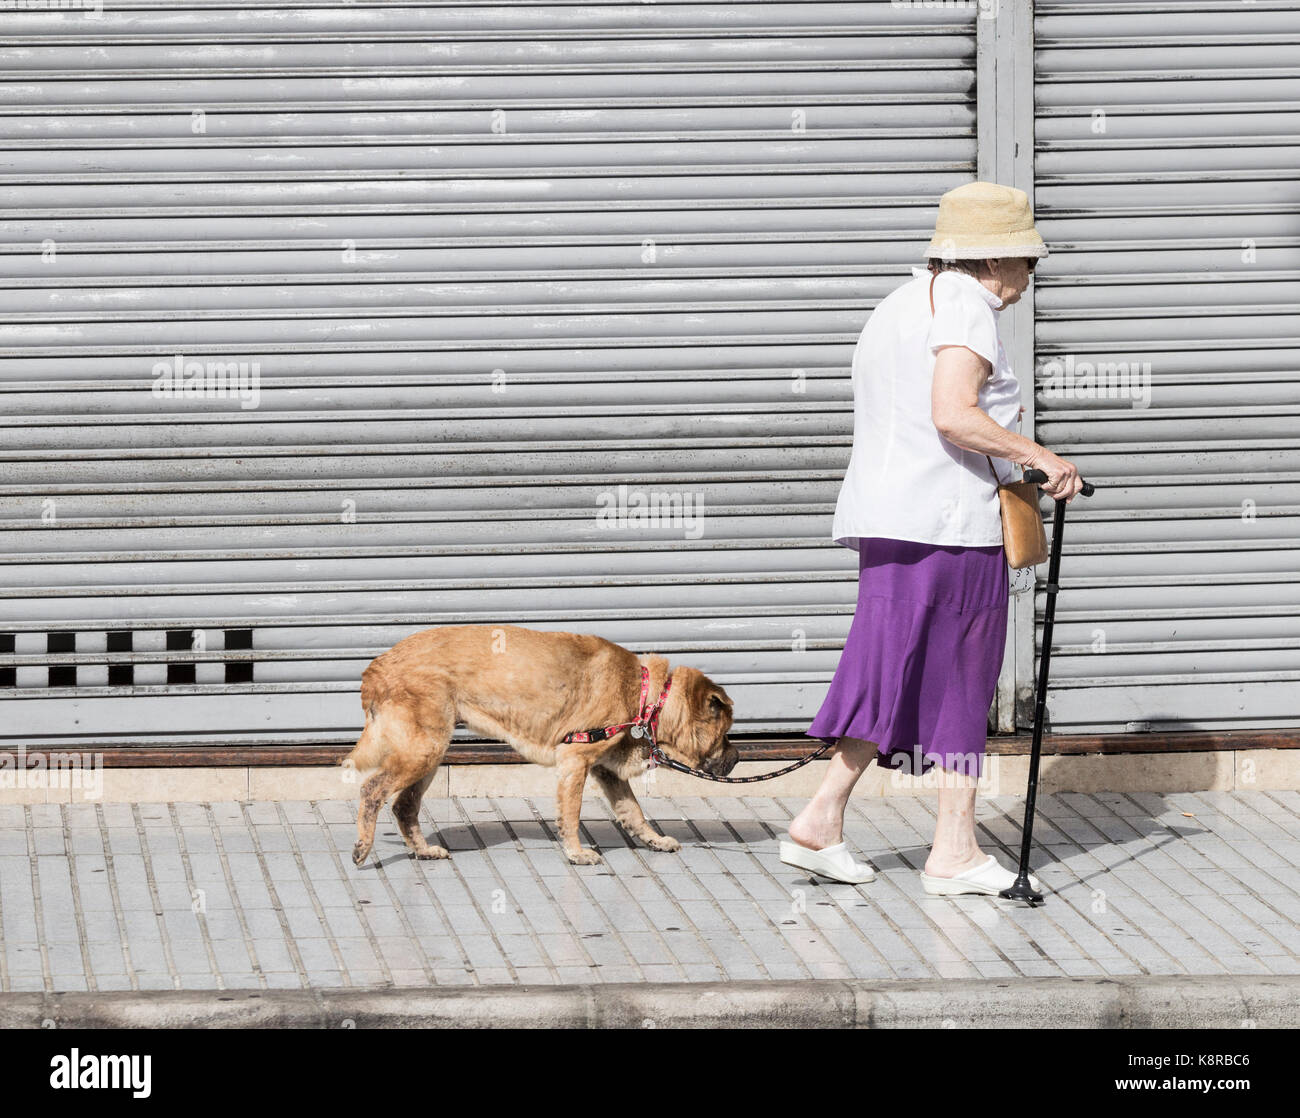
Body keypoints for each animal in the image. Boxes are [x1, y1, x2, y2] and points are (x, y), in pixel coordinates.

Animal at [345, 624, 738, 868]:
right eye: (725, 733)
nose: (737, 758)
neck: (645, 695)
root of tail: (377, 667)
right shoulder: (576, 761)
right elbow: (571, 814)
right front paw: (577, 854)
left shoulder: (606, 771)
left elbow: (634, 813)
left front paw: (654, 841)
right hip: (423, 750)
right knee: (372, 789)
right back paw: (363, 848)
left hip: (430, 751)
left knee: (404, 806)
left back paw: (423, 850)